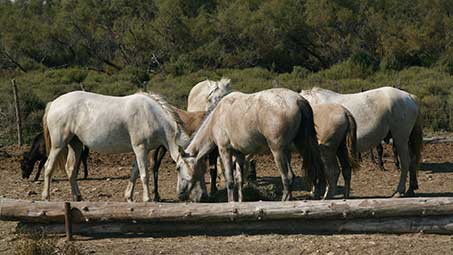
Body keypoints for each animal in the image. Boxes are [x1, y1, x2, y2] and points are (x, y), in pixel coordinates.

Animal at [42, 91, 198, 201]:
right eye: (178, 168)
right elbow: (144, 174)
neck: (151, 115)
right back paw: (46, 197)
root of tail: (54, 103)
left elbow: (134, 173)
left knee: (71, 169)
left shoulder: (142, 150)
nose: (183, 195)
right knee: (48, 167)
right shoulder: (140, 148)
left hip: (76, 144)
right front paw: (147, 198)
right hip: (58, 145)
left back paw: (77, 197)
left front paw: (129, 196)